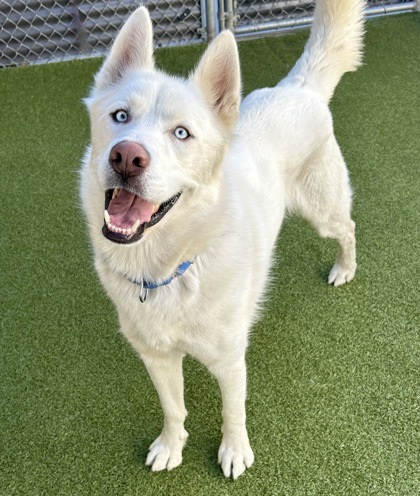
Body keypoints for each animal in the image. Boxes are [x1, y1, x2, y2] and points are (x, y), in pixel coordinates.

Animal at [80, 0, 362, 480]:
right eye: (120, 116)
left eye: (181, 133)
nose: (127, 157)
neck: (170, 268)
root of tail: (298, 88)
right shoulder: (156, 356)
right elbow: (173, 408)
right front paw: (171, 447)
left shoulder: (230, 360)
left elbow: (234, 411)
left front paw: (234, 452)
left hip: (323, 209)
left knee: (348, 229)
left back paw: (346, 268)